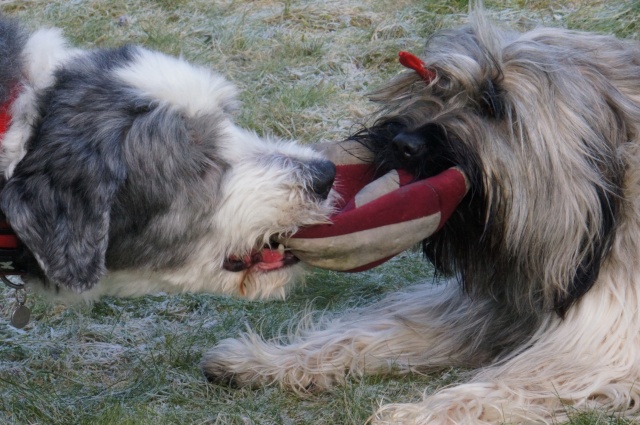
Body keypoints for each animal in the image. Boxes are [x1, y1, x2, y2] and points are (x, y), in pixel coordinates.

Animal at [205, 9, 640, 424]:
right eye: (429, 88)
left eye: (493, 105)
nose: (404, 143)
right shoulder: (486, 306)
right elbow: (377, 329)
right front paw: (264, 360)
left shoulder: (603, 344)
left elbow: (516, 380)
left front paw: (418, 413)